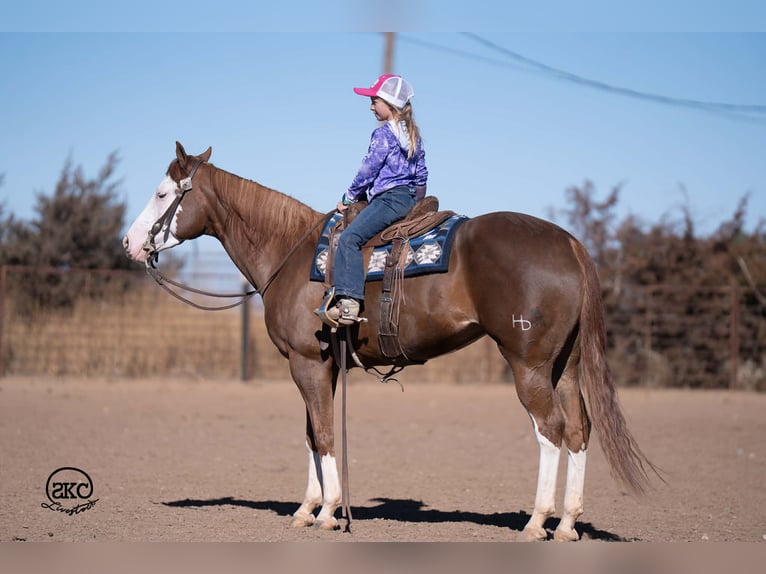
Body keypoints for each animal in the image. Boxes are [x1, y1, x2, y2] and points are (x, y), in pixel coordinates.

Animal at [123, 142, 658, 541]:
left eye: (162, 193)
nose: (130, 243)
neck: (289, 251)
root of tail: (568, 242)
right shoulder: (322, 365)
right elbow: (312, 434)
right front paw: (308, 508)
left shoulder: (307, 363)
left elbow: (323, 434)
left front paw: (328, 512)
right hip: (564, 365)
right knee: (579, 429)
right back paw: (567, 523)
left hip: (528, 364)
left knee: (550, 430)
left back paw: (536, 522)